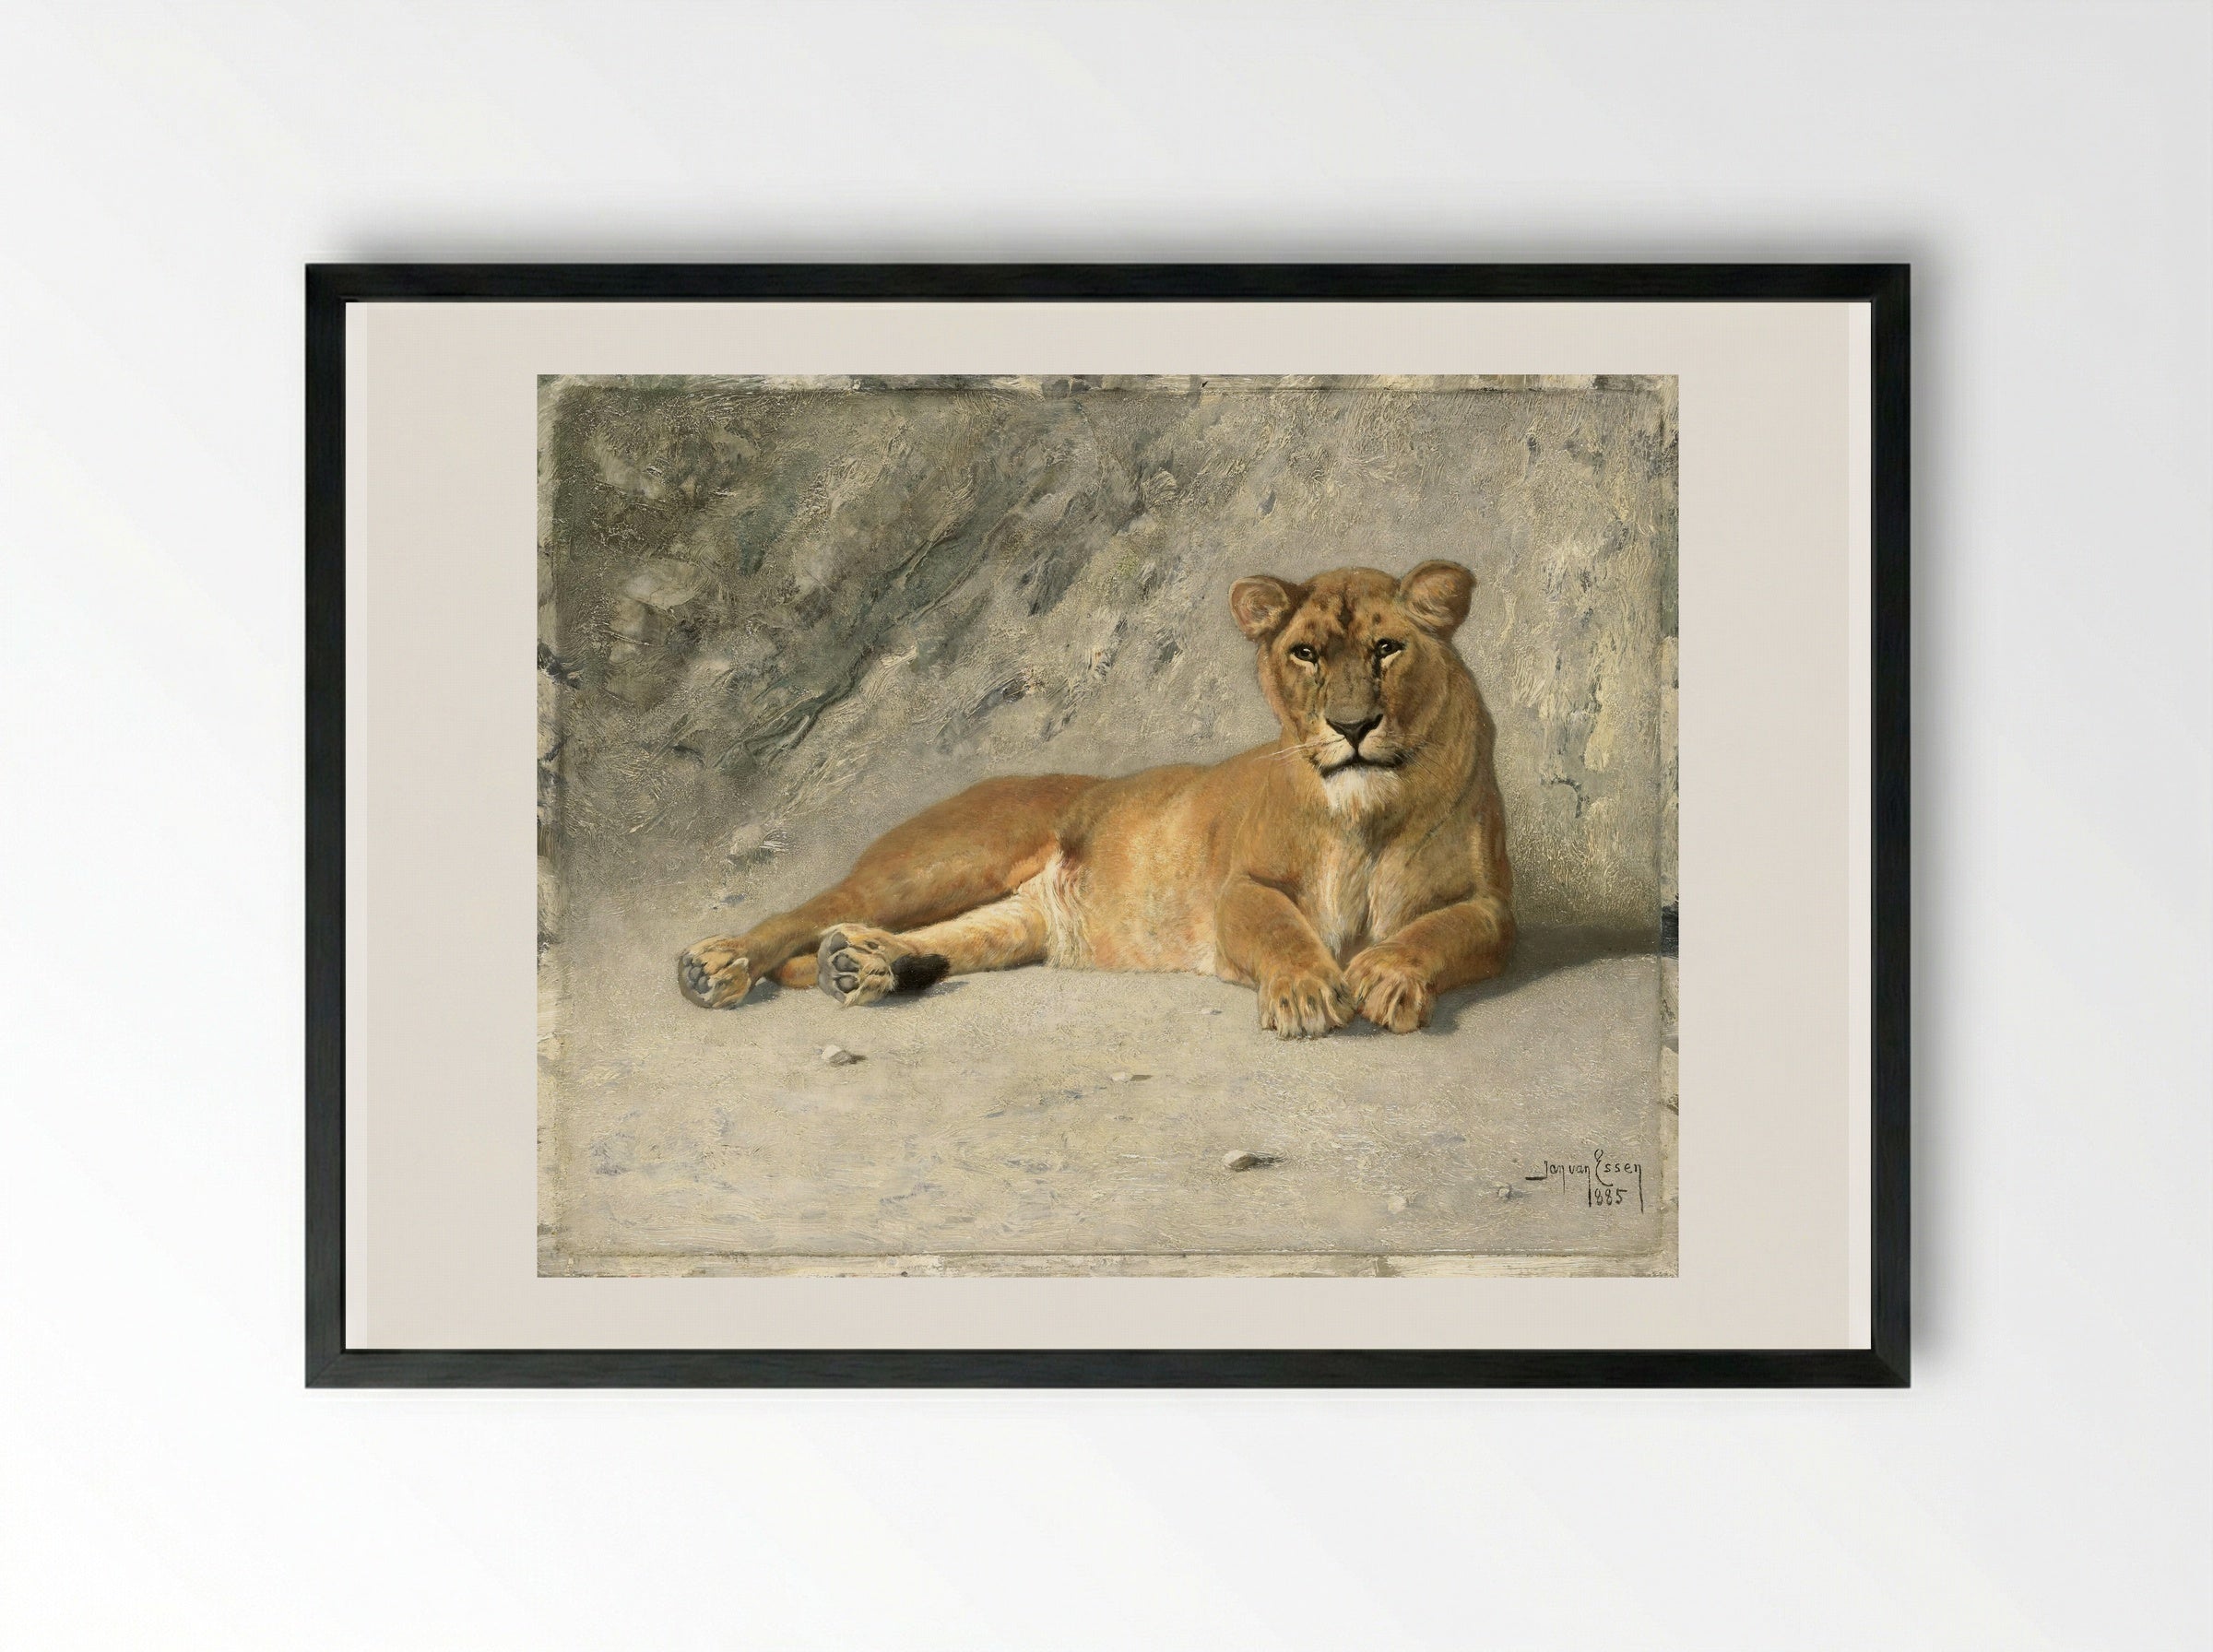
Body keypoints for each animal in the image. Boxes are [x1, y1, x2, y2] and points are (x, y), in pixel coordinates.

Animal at [677, 559, 1514, 1037]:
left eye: (1387, 649)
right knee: (814, 911)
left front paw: (1389, 974)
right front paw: (1308, 993)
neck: (1369, 811)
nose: (1352, 725)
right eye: (1305, 653)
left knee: (942, 938)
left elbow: (1439, 931)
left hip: (1016, 922)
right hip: (943, 861)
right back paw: (717, 966)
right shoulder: (1241, 888)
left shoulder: (1494, 909)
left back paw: (863, 966)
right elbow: (1281, 927)